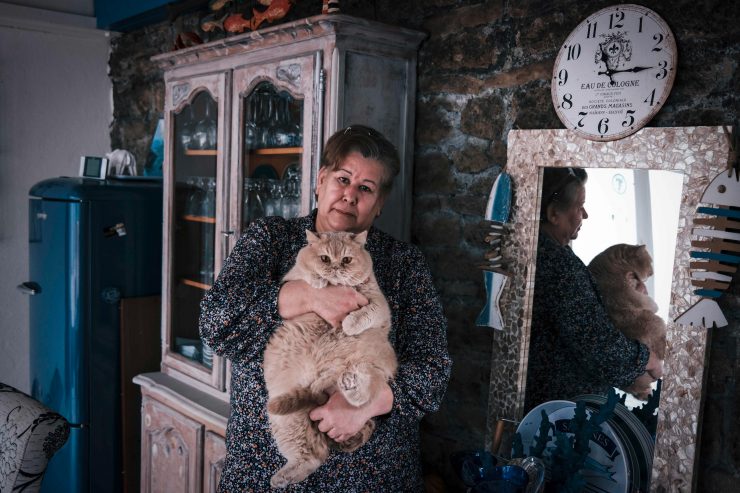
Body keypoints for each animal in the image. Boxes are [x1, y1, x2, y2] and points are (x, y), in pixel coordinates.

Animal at [262, 229, 396, 486]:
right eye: (324, 258)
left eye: (346, 259)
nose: (334, 268)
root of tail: (319, 381)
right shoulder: (291, 278)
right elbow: (303, 274)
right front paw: (318, 280)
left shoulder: (379, 304)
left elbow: (366, 313)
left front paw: (350, 323)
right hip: (285, 417)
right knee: (312, 457)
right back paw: (282, 477)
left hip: (369, 364)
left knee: (366, 394)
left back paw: (352, 386)